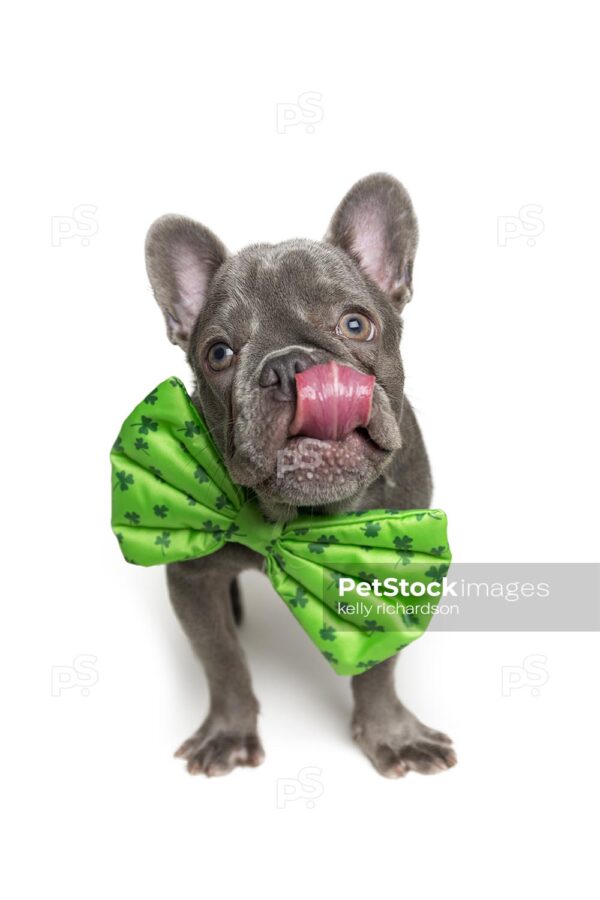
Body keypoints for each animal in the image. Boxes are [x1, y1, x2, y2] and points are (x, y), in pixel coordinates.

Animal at [144, 172, 454, 776]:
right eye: (219, 353)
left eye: (356, 324)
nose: (289, 364)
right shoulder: (191, 577)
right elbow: (222, 661)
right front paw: (229, 732)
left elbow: (379, 668)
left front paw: (392, 735)